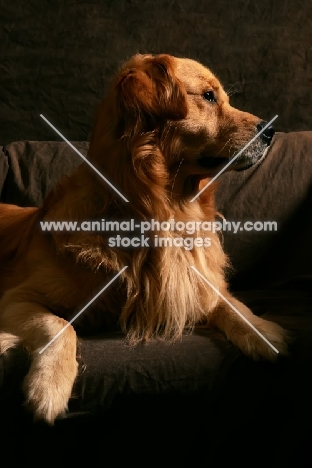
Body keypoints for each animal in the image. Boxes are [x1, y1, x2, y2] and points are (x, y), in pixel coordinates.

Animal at [0, 53, 288, 422]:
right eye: (209, 97)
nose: (271, 130)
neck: (161, 212)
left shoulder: (195, 282)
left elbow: (229, 303)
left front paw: (262, 330)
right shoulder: (16, 298)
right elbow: (61, 324)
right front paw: (48, 387)